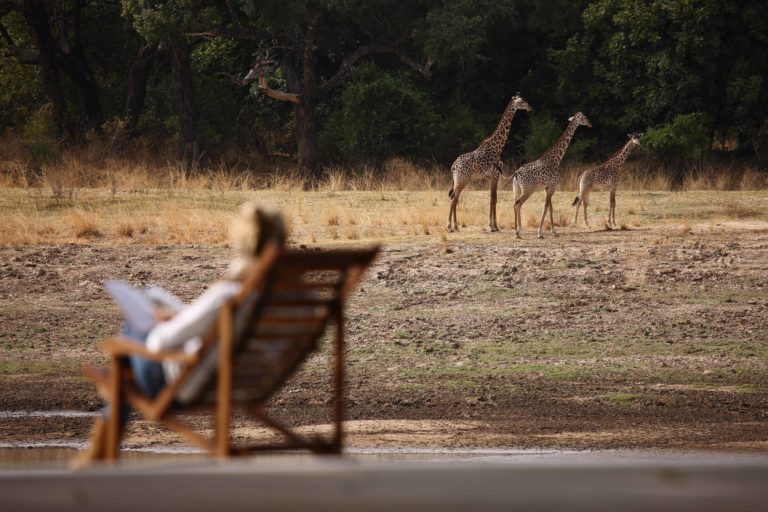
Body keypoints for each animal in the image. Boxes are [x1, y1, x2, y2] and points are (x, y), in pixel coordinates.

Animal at [447, 94, 532, 232]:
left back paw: (456, 226)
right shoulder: (495, 174)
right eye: (522, 101)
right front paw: (494, 226)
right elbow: (494, 198)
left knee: (455, 198)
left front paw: (492, 225)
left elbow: (492, 198)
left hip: (460, 180)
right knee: (454, 199)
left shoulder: (491, 177)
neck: (498, 147)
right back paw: (449, 226)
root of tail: (453, 167)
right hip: (462, 180)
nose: (530, 107)